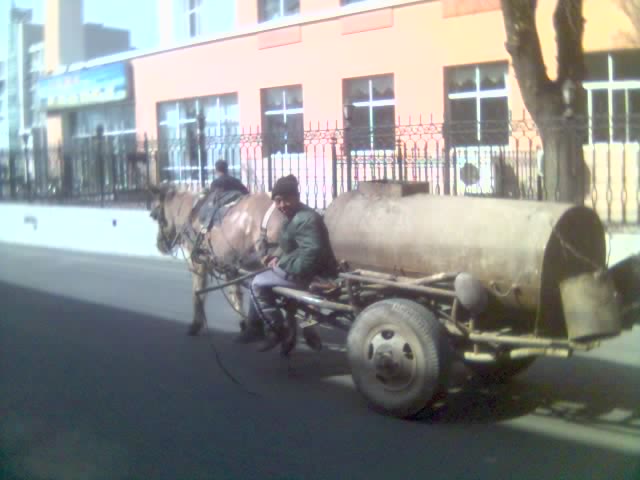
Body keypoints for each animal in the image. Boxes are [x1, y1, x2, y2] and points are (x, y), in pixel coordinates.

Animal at [150, 184, 284, 338]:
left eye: (155, 215)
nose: (160, 245)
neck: (191, 213)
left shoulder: (198, 263)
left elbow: (198, 291)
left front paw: (196, 324)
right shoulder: (230, 266)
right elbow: (235, 293)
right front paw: (246, 324)